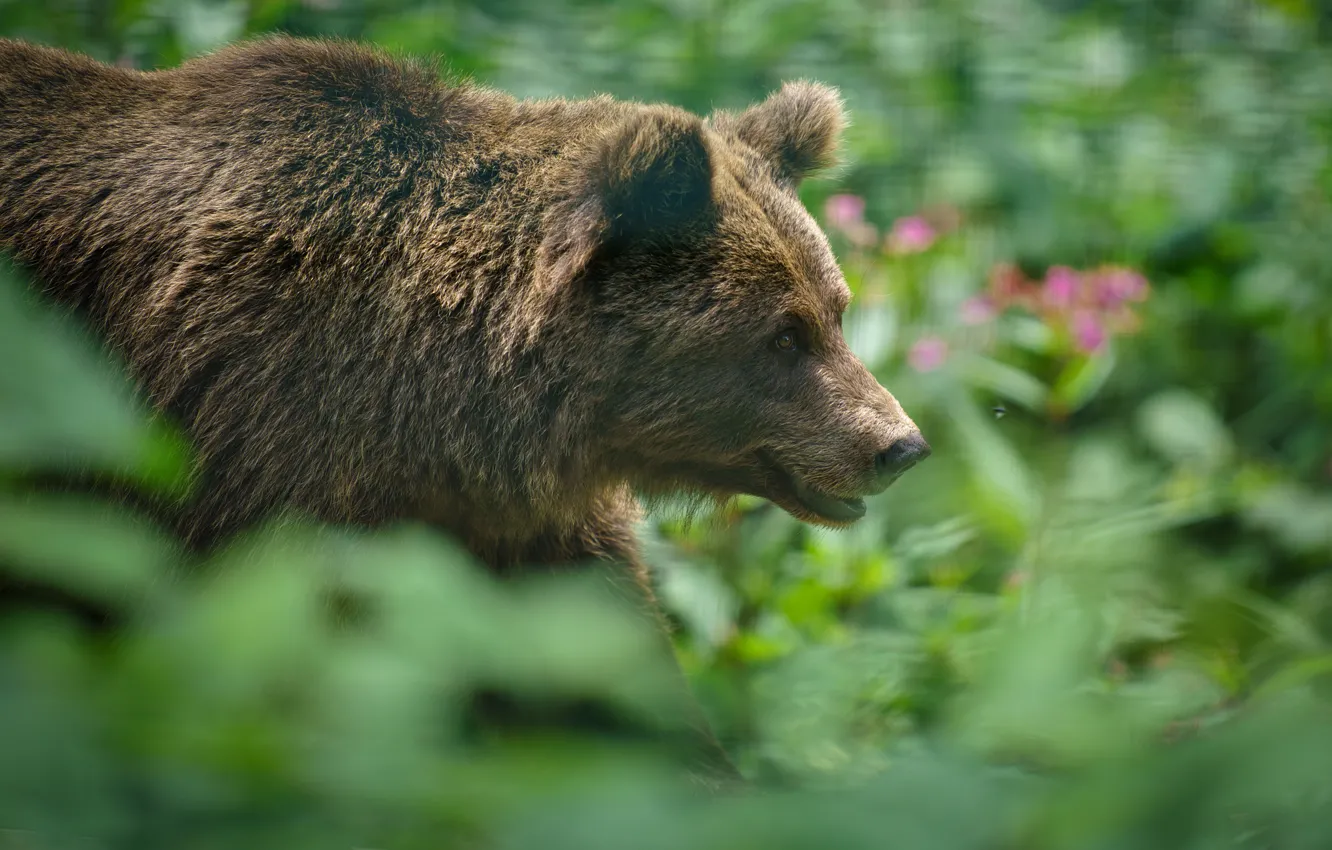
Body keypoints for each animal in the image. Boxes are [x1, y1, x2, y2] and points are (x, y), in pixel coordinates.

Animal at [0, 36, 929, 786]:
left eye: (836, 310)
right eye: (783, 335)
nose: (900, 444)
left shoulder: (506, 525)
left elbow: (607, 684)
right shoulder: (240, 447)